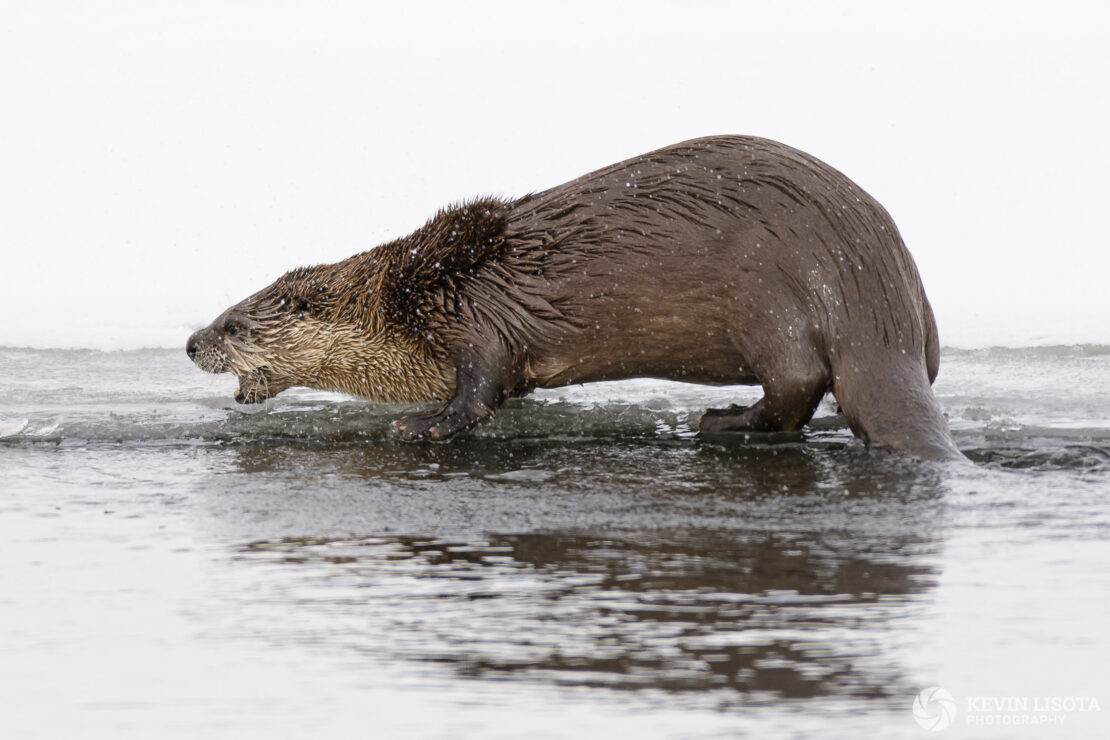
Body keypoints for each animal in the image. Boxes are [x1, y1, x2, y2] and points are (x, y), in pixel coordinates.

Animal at [184, 133, 963, 457]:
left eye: (233, 324)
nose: (190, 342)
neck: (409, 297)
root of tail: (878, 295)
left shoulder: (469, 319)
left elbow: (477, 392)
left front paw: (421, 425)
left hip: (772, 303)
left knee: (798, 385)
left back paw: (724, 420)